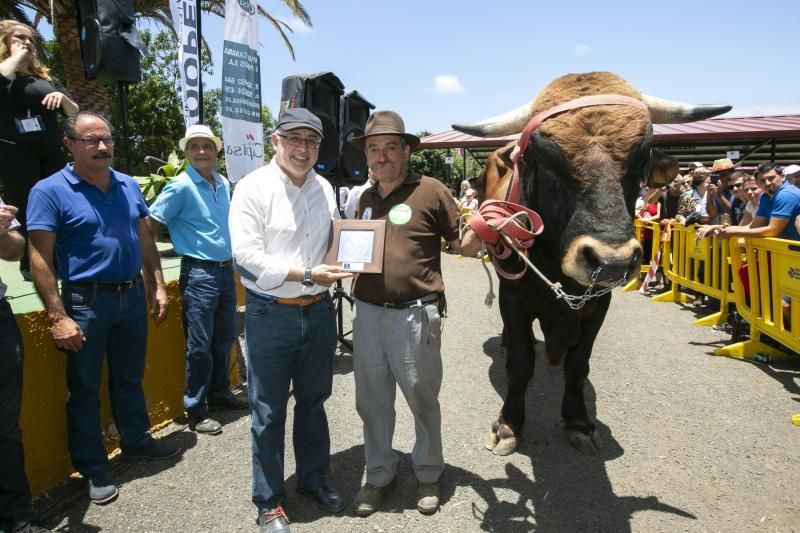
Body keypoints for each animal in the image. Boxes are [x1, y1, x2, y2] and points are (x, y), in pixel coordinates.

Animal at [454, 69, 728, 454]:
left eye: (641, 158)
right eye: (543, 158)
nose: (611, 260)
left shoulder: (599, 303)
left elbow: (578, 364)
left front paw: (579, 422)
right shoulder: (514, 296)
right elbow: (521, 364)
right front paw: (508, 424)